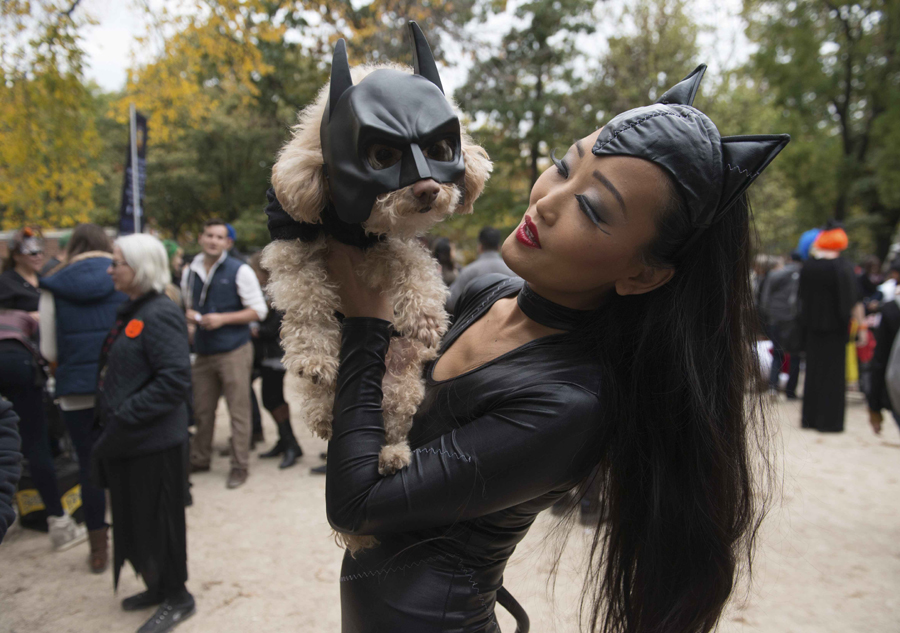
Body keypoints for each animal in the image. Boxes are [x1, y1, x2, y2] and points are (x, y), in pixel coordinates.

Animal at [260, 27, 492, 544]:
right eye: (382, 155)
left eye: (440, 151)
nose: (427, 189)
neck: (352, 230)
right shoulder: (293, 249)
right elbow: (306, 301)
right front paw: (313, 355)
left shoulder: (391, 244)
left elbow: (413, 264)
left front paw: (425, 316)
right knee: (326, 414)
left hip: (401, 387)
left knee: (391, 426)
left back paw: (391, 456)